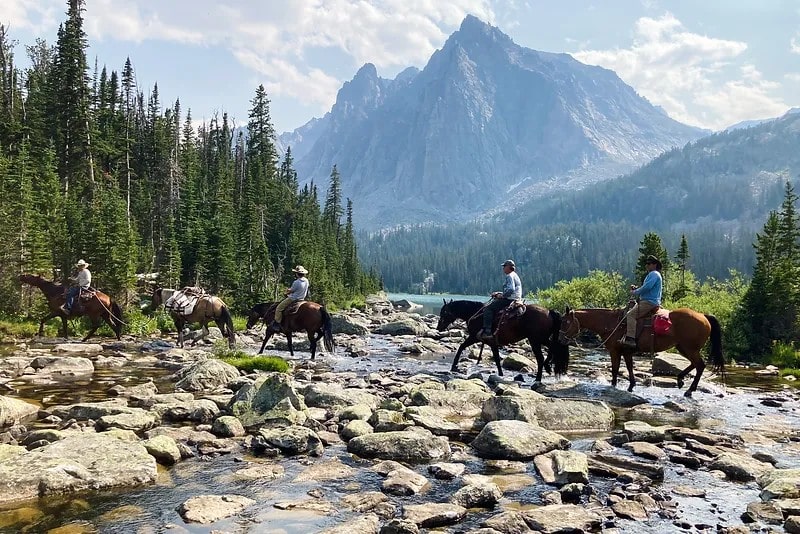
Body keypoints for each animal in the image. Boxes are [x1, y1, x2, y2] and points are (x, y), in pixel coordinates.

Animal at [438, 300, 568, 384]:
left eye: (444, 312)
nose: (439, 327)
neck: (474, 312)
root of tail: (549, 311)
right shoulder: (492, 343)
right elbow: (496, 359)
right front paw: (500, 375)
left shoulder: (474, 337)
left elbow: (461, 346)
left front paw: (454, 366)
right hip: (542, 339)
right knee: (554, 348)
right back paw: (548, 367)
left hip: (535, 340)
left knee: (541, 358)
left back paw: (538, 379)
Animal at [556, 306, 724, 398]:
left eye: (566, 322)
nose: (560, 339)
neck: (610, 323)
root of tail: (704, 316)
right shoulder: (627, 351)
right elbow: (629, 367)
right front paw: (631, 385)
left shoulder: (615, 350)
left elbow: (615, 369)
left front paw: (613, 386)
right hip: (682, 347)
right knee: (695, 365)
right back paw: (681, 380)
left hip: (689, 348)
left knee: (700, 365)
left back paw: (689, 390)